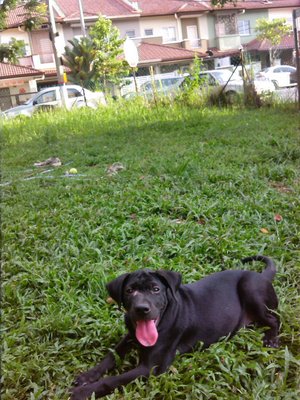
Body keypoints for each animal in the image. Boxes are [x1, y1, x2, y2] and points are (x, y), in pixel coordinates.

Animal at [70, 255, 278, 398]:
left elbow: (114, 379)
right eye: (129, 291)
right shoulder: (130, 336)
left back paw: (271, 339)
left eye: (156, 289)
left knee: (275, 319)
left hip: (250, 288)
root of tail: (261, 276)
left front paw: (83, 392)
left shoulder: (151, 368)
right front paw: (87, 376)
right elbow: (110, 357)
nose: (141, 309)